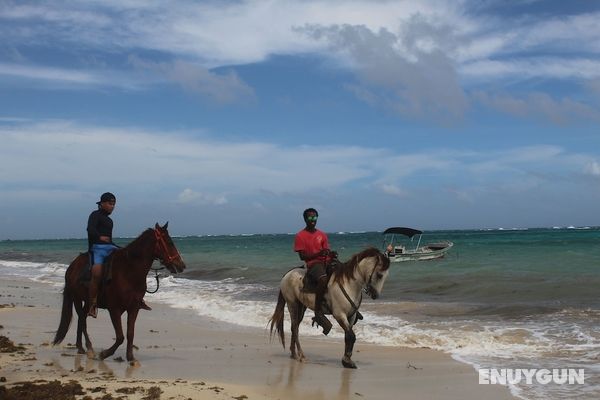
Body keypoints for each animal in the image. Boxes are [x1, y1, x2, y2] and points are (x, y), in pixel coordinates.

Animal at [53, 223, 185, 364]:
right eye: (170, 242)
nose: (182, 265)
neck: (128, 271)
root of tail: (71, 267)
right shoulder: (114, 309)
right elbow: (120, 336)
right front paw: (104, 354)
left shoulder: (133, 308)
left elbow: (130, 333)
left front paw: (130, 357)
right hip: (77, 298)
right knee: (82, 320)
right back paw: (89, 349)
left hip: (88, 301)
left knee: (82, 318)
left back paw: (80, 348)